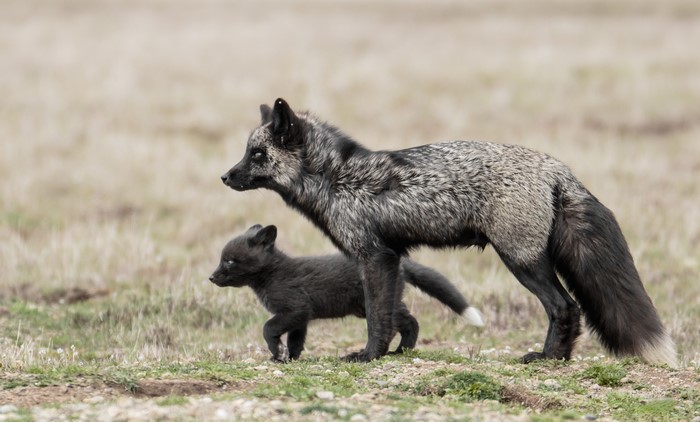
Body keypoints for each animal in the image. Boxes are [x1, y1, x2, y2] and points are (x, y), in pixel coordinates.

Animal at [209, 224, 484, 361]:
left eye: (229, 261)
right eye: (222, 259)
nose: (211, 277)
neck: (273, 275)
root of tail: (403, 263)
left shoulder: (294, 308)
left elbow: (268, 328)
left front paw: (276, 352)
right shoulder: (301, 316)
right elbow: (296, 339)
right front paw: (289, 358)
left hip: (373, 303)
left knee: (401, 323)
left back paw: (389, 351)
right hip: (376, 304)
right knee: (408, 320)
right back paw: (401, 350)